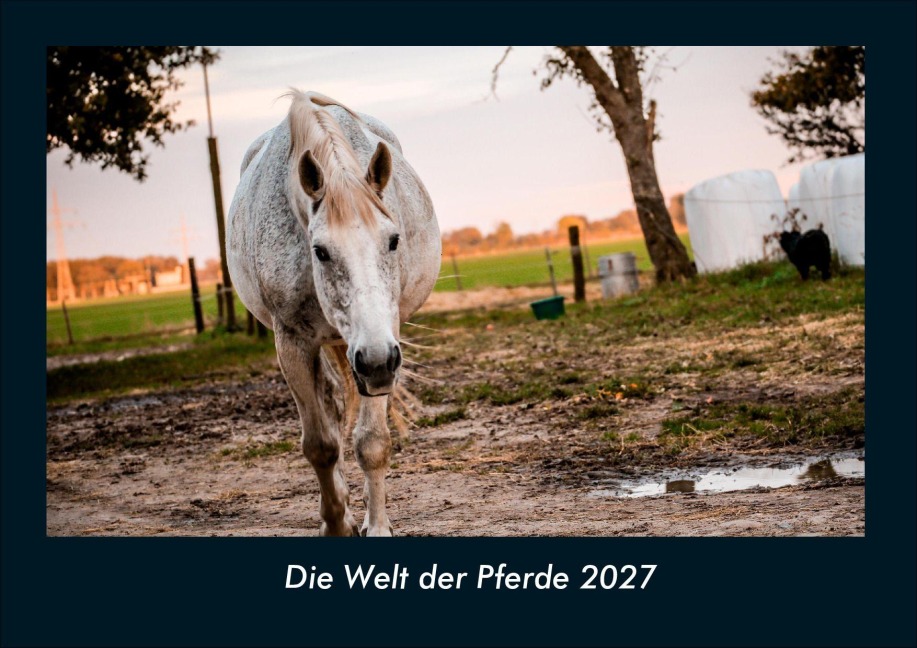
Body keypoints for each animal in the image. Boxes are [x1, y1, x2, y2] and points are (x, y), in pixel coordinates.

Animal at [227, 90, 441, 536]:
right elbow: (321, 445)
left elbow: (372, 442)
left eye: (393, 240)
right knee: (329, 407)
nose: (375, 360)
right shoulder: (292, 343)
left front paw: (376, 526)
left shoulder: (385, 345)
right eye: (320, 250)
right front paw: (338, 522)